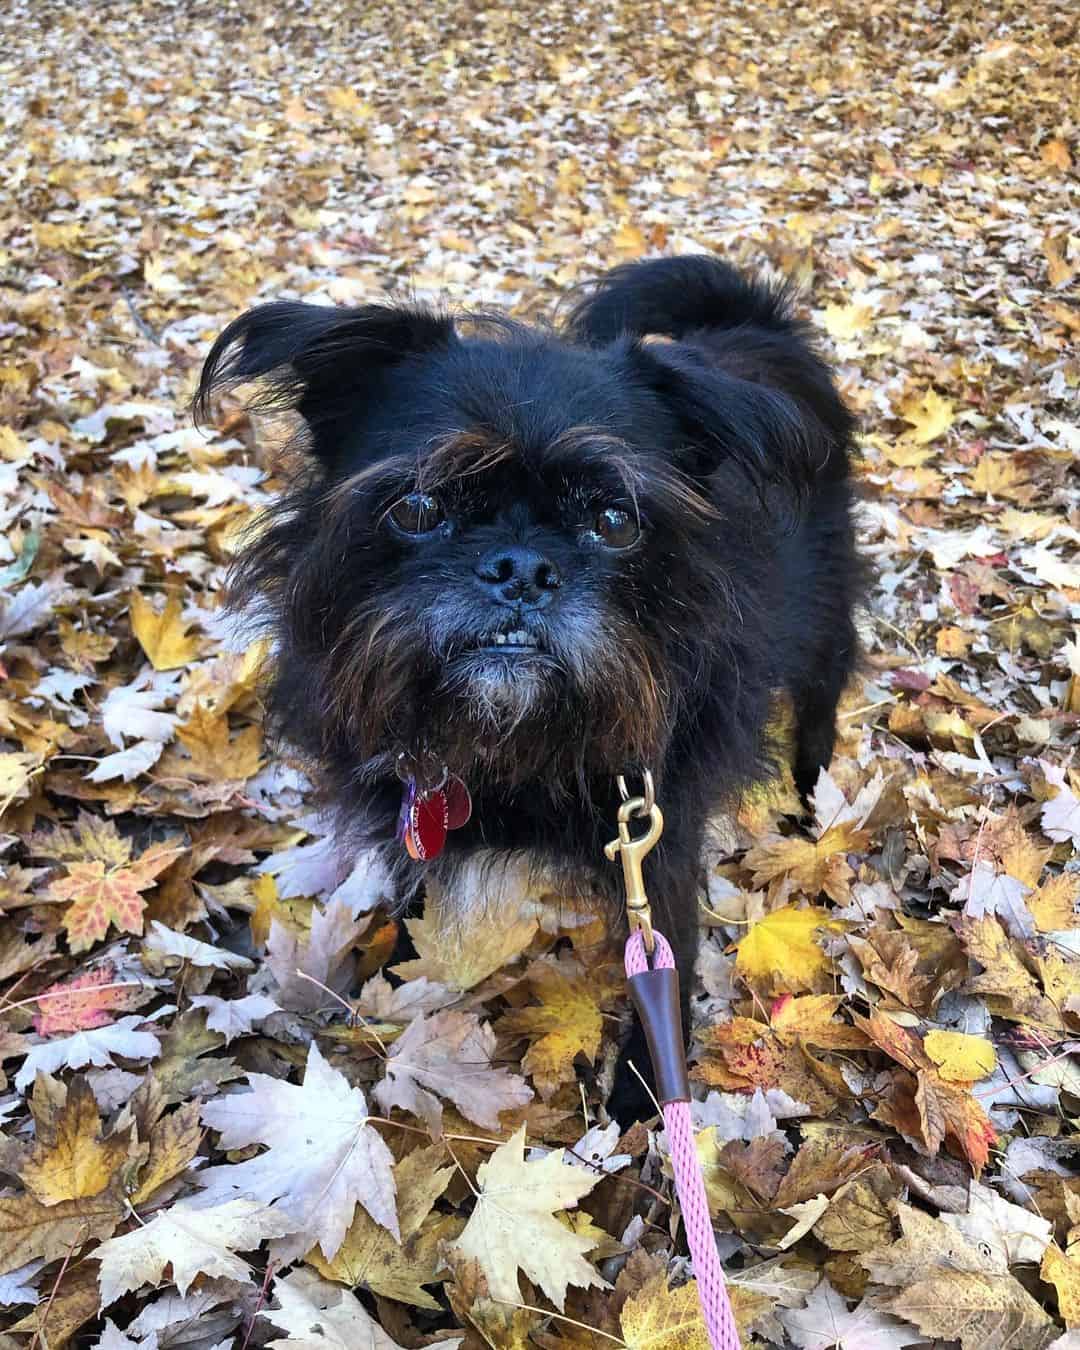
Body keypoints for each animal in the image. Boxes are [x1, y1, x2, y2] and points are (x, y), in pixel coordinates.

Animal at [198, 257, 858, 1123]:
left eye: (615, 521)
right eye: (419, 505)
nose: (522, 569)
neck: (511, 740)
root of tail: (756, 324)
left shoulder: (658, 841)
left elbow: (667, 961)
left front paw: (645, 1096)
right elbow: (415, 891)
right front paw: (401, 970)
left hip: (823, 625)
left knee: (820, 702)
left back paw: (811, 795)